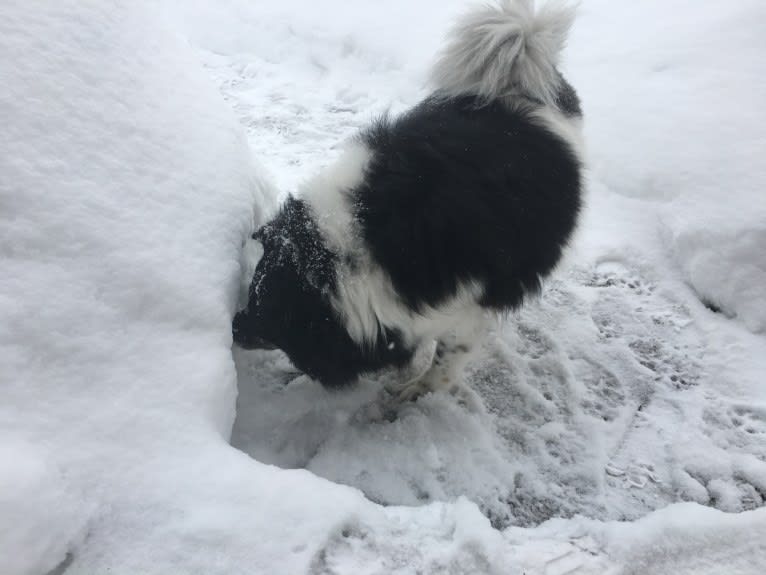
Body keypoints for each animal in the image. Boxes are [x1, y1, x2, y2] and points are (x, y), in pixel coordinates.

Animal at [232, 1, 584, 400]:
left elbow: (446, 356)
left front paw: (415, 390)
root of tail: (516, 85)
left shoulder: (469, 305)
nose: (234, 326)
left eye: (268, 317)